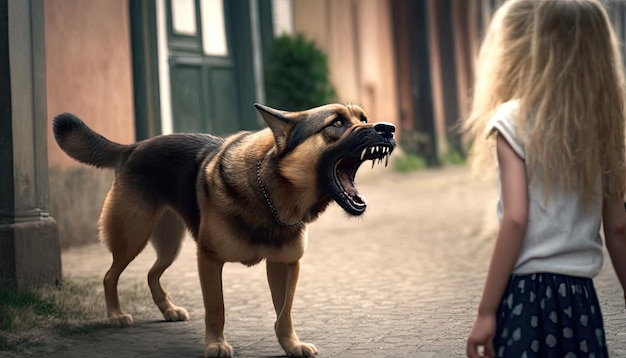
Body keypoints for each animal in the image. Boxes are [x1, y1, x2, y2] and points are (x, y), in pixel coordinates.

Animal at [53, 102, 394, 356]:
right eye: (337, 123)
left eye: (364, 119)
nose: (388, 129)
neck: (272, 193)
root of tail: (133, 147)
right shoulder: (209, 259)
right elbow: (216, 307)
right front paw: (216, 345)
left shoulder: (285, 264)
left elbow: (284, 312)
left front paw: (291, 345)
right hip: (132, 236)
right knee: (110, 275)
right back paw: (115, 315)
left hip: (169, 245)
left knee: (152, 274)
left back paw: (168, 310)